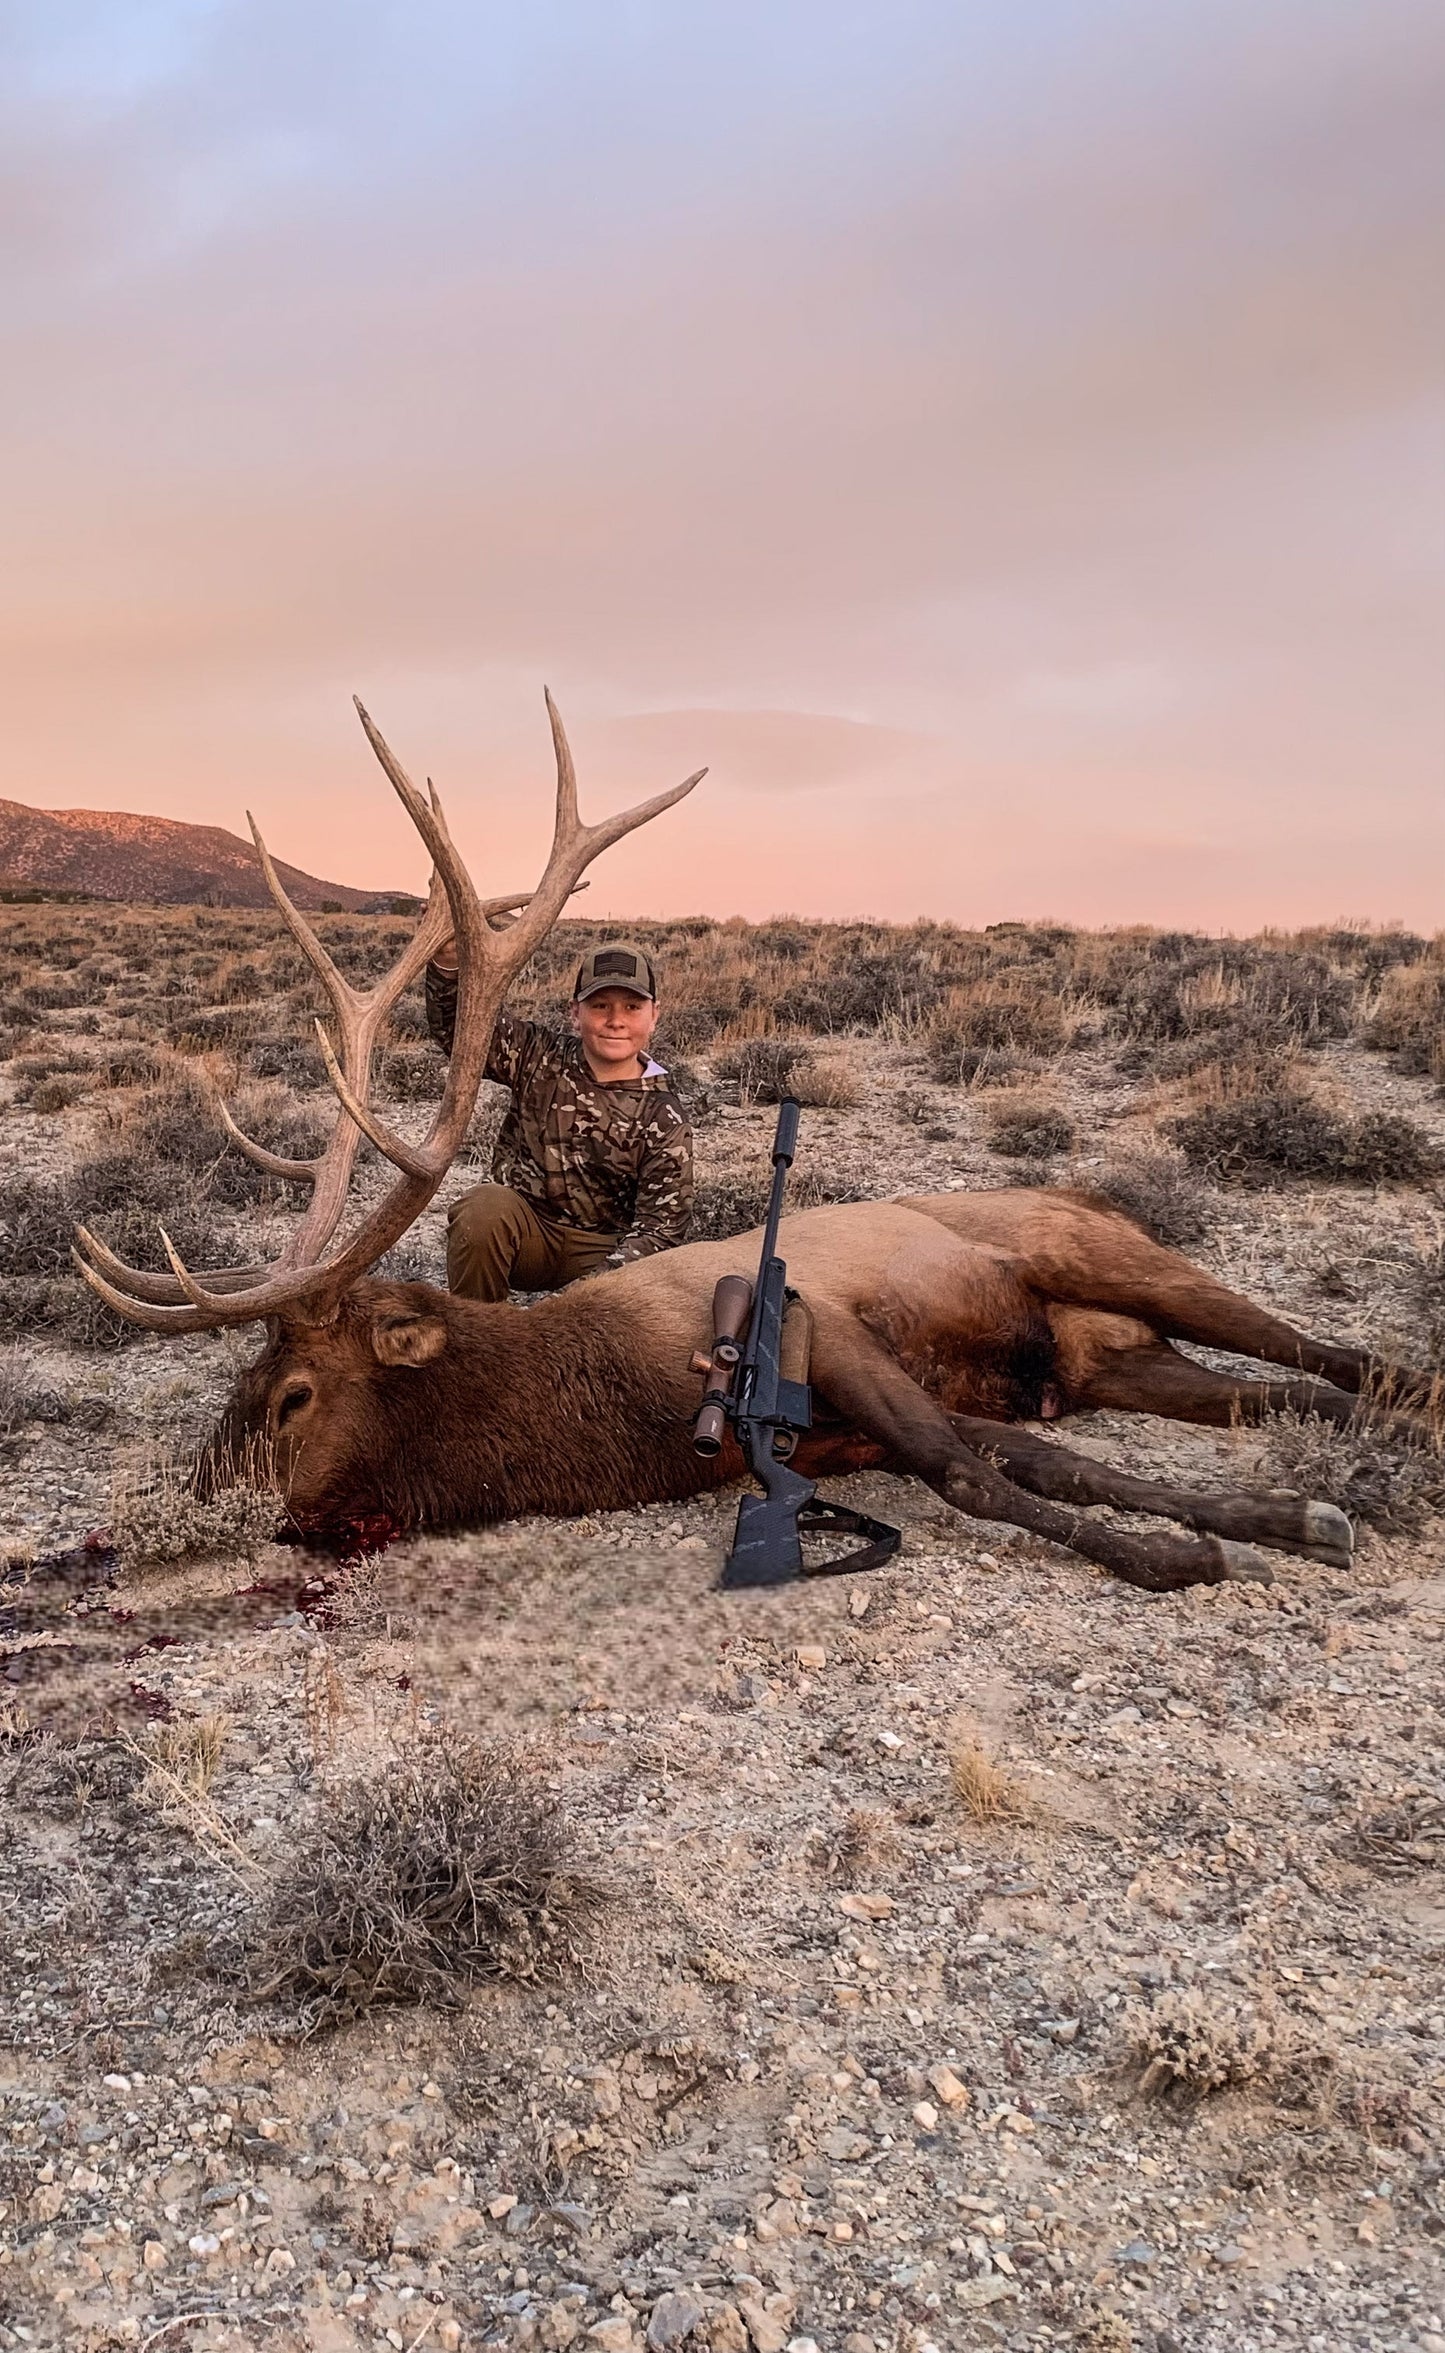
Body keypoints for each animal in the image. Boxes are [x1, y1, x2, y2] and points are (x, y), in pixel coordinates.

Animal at [73, 693, 1432, 1595]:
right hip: (1114, 1359)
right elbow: (1028, 1457)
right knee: (1273, 1390)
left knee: (1327, 1347)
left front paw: (1184, 1548)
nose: (172, 1512)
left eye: (292, 1395)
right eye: (239, 1387)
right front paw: (1267, 1518)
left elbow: (973, 1473)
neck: (604, 1412)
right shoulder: (851, 1421)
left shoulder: (842, 1345)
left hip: (1105, 1255)